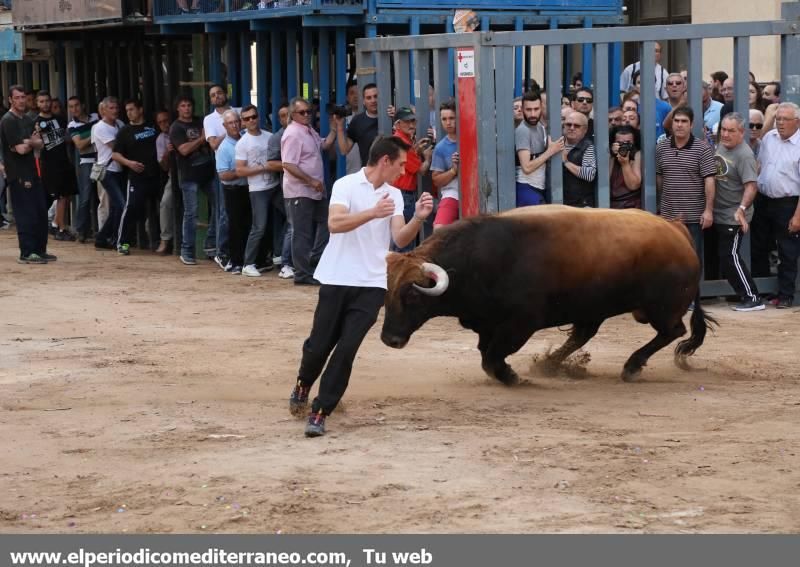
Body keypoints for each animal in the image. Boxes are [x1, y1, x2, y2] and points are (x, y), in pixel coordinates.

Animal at [382, 205, 720, 386]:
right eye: (387, 294)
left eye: (413, 297)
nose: (389, 340)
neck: (479, 258)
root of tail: (677, 230)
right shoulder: (487, 323)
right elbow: (485, 354)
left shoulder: (521, 323)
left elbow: (492, 357)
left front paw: (511, 377)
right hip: (594, 305)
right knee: (583, 334)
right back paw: (550, 364)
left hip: (660, 308)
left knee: (673, 331)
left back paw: (631, 366)